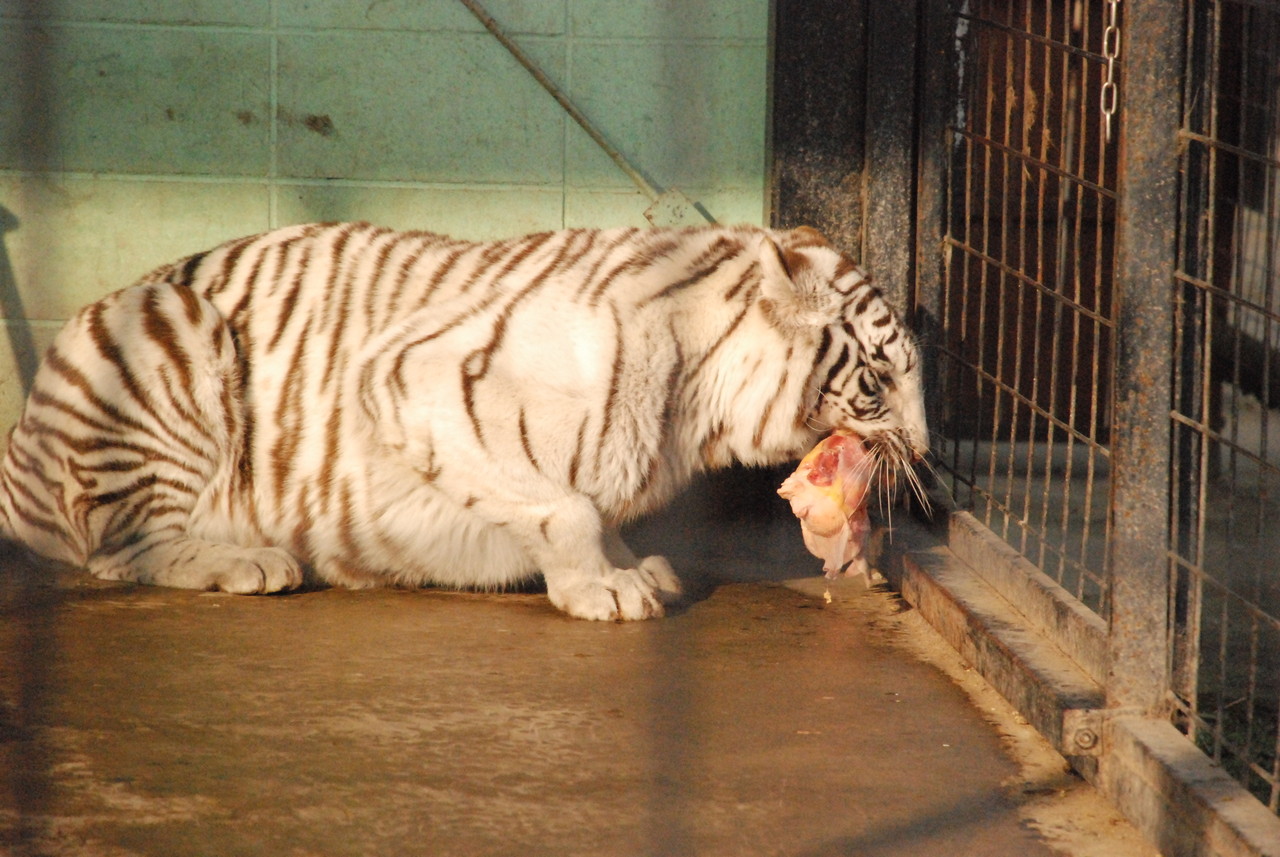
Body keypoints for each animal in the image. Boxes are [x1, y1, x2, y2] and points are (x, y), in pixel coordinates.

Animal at [0, 225, 926, 621]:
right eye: (879, 380)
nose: (924, 451)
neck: (696, 404)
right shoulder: (413, 378)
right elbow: (565, 506)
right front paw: (602, 588)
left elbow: (596, 511)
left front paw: (634, 566)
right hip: (172, 325)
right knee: (117, 547)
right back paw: (249, 560)